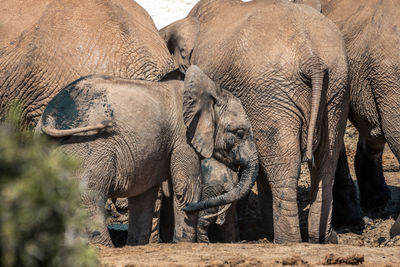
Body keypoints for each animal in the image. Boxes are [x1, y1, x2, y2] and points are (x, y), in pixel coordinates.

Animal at [37, 65, 260, 247]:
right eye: (239, 133)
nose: (191, 209)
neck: (210, 90)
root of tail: (49, 116)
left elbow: (144, 194)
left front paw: (137, 245)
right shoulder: (183, 137)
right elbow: (186, 187)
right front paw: (184, 242)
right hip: (89, 145)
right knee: (88, 196)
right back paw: (104, 246)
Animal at [162, 0, 350, 245]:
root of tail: (312, 58)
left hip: (273, 94)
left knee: (283, 163)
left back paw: (286, 241)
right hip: (335, 87)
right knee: (326, 160)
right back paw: (322, 239)